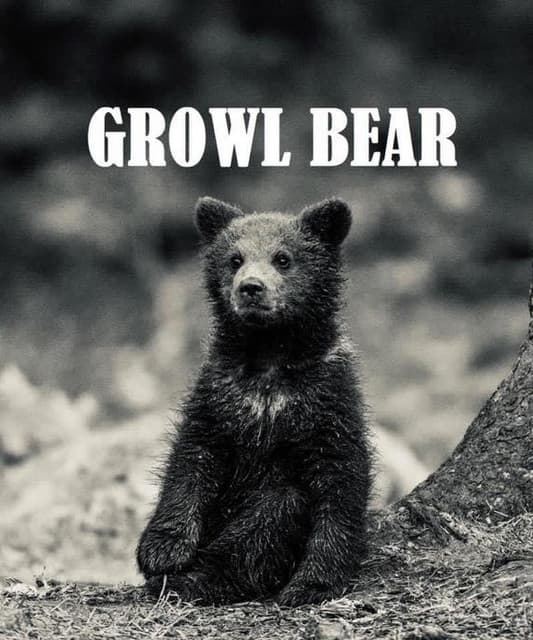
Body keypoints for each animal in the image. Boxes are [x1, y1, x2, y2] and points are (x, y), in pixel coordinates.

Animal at [136, 196, 371, 606]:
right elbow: (190, 458)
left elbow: (342, 477)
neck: (268, 357)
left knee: (274, 512)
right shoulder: (219, 392)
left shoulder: (328, 397)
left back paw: (195, 580)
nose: (251, 287)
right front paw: (161, 548)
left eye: (283, 258)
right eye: (235, 258)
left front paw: (314, 581)